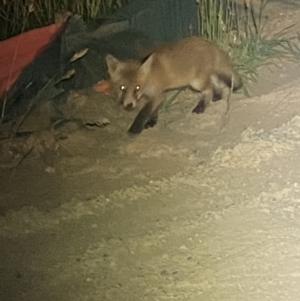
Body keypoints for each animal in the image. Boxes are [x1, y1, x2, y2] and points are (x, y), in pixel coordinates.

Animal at [105, 35, 241, 134]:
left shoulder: (158, 94)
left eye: (137, 88)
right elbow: (153, 110)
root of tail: (211, 44)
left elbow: (143, 112)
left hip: (196, 83)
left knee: (209, 90)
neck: (150, 77)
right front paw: (152, 121)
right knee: (215, 85)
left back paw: (201, 107)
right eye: (122, 87)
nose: (129, 105)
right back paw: (217, 96)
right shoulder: (154, 96)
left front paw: (135, 129)